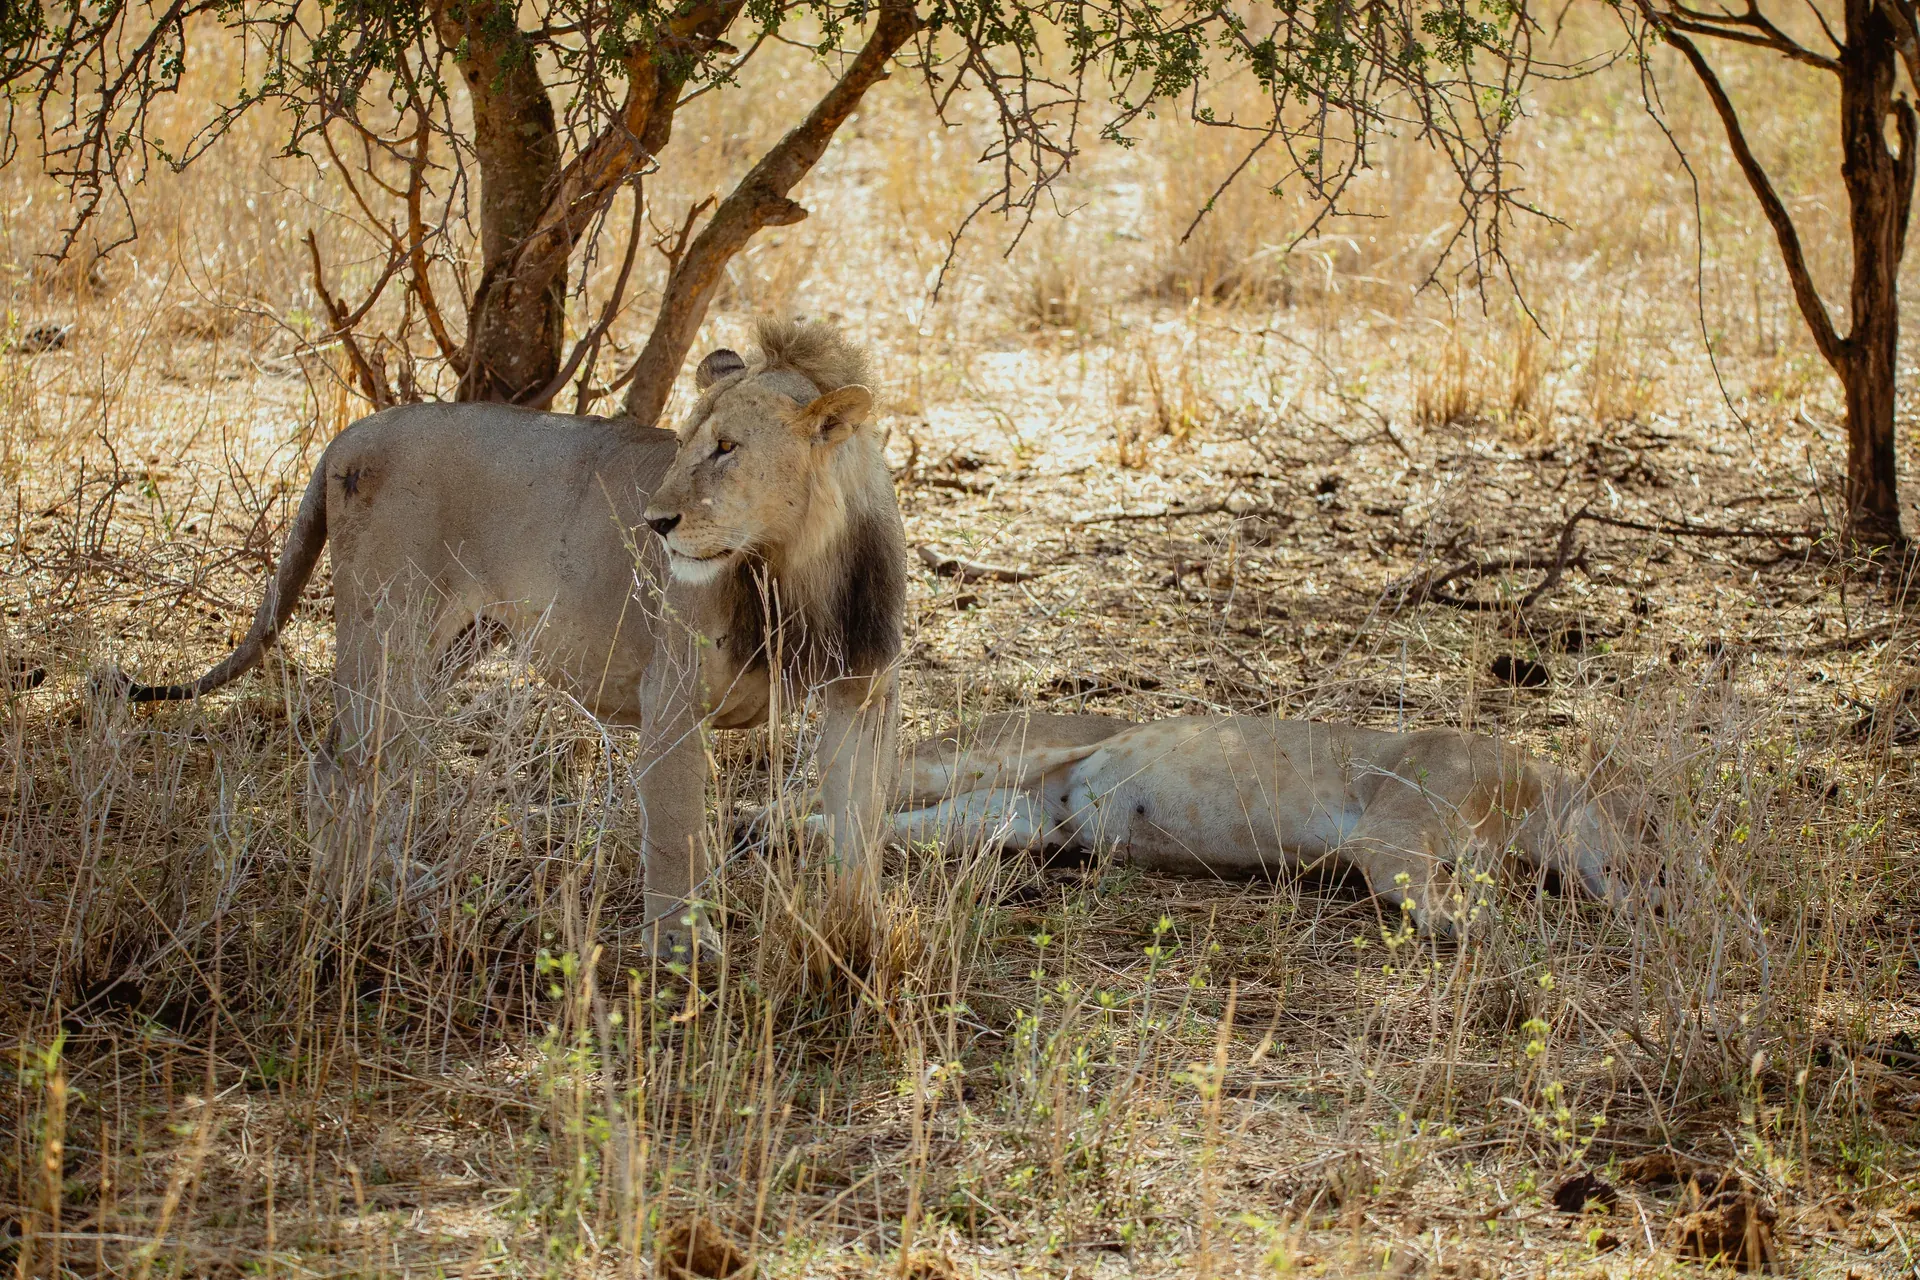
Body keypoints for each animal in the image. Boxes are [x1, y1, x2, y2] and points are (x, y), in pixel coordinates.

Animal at [112, 318, 905, 952]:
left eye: (728, 448)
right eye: (684, 447)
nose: (654, 523)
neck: (797, 562)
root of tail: (352, 432)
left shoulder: (863, 694)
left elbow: (860, 821)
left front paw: (860, 932)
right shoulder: (672, 699)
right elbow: (676, 835)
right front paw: (681, 953)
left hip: (449, 648)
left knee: (374, 764)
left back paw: (394, 878)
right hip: (388, 630)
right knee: (342, 763)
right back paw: (352, 893)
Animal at [867, 711, 1646, 936]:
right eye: (1652, 841)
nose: (1658, 896)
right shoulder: (1393, 829)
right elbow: (1426, 884)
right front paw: (1475, 923)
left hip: (1003, 821)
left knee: (885, 824)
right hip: (993, 753)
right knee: (867, 777)